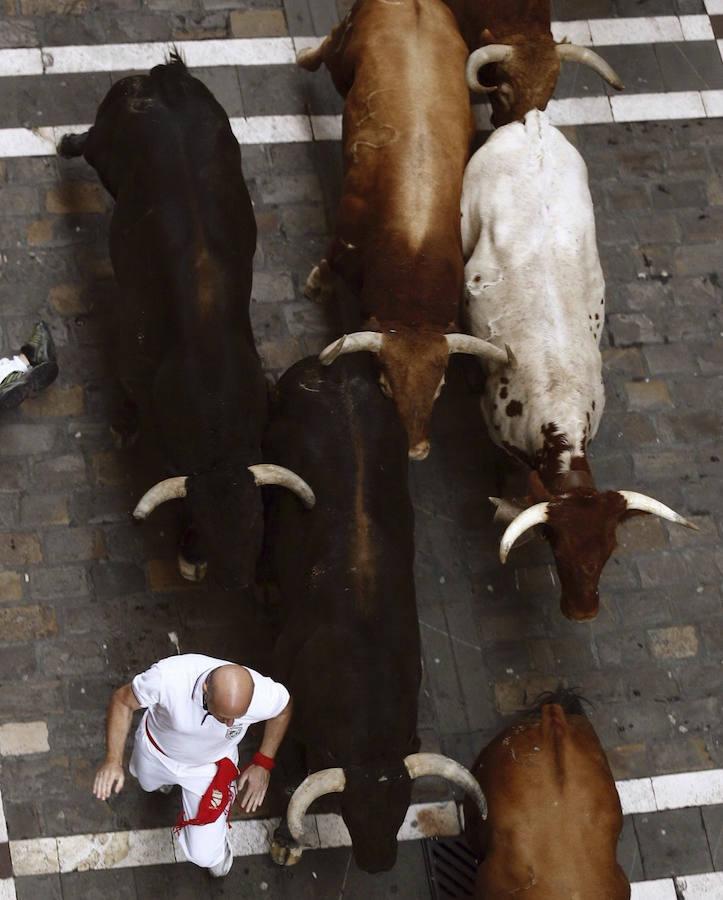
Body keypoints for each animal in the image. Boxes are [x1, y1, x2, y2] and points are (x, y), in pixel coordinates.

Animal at [58, 56, 292, 592]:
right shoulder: (133, 363)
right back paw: (64, 144)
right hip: (107, 145)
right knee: (89, 144)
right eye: (202, 522)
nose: (241, 584)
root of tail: (169, 84)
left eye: (259, 522)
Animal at [296, 0, 512, 460]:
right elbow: (327, 264)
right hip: (345, 56)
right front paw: (316, 286)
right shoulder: (344, 239)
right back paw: (303, 55)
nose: (417, 450)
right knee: (327, 50)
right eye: (384, 386)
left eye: (440, 387)